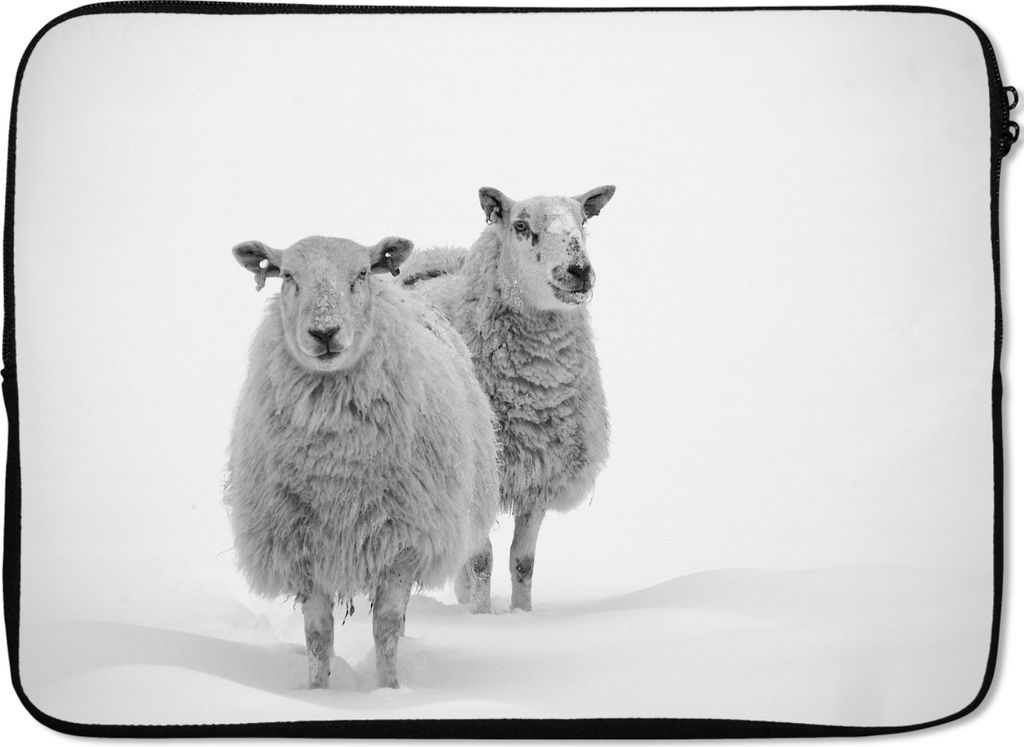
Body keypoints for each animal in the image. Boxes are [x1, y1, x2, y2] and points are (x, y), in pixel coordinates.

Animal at [225, 235, 499, 689]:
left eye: (361, 273)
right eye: (287, 275)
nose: (324, 332)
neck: (336, 468)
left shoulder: (403, 544)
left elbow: (385, 629)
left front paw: (388, 690)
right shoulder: (301, 548)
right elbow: (318, 636)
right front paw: (318, 691)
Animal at [400, 186, 615, 611]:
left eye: (583, 220)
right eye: (520, 226)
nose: (579, 270)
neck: (535, 389)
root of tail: (432, 260)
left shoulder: (538, 478)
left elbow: (523, 563)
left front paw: (521, 614)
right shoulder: (479, 478)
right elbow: (481, 560)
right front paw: (481, 616)